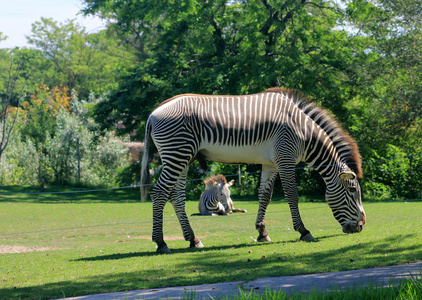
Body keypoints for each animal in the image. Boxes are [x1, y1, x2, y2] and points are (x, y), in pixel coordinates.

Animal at [142, 86, 366, 253]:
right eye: (353, 190)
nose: (362, 226)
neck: (303, 132)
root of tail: (153, 112)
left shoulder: (271, 163)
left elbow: (264, 196)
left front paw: (262, 232)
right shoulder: (285, 159)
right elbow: (292, 195)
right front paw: (303, 231)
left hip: (182, 157)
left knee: (177, 197)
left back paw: (193, 239)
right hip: (177, 153)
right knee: (159, 193)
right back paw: (161, 242)